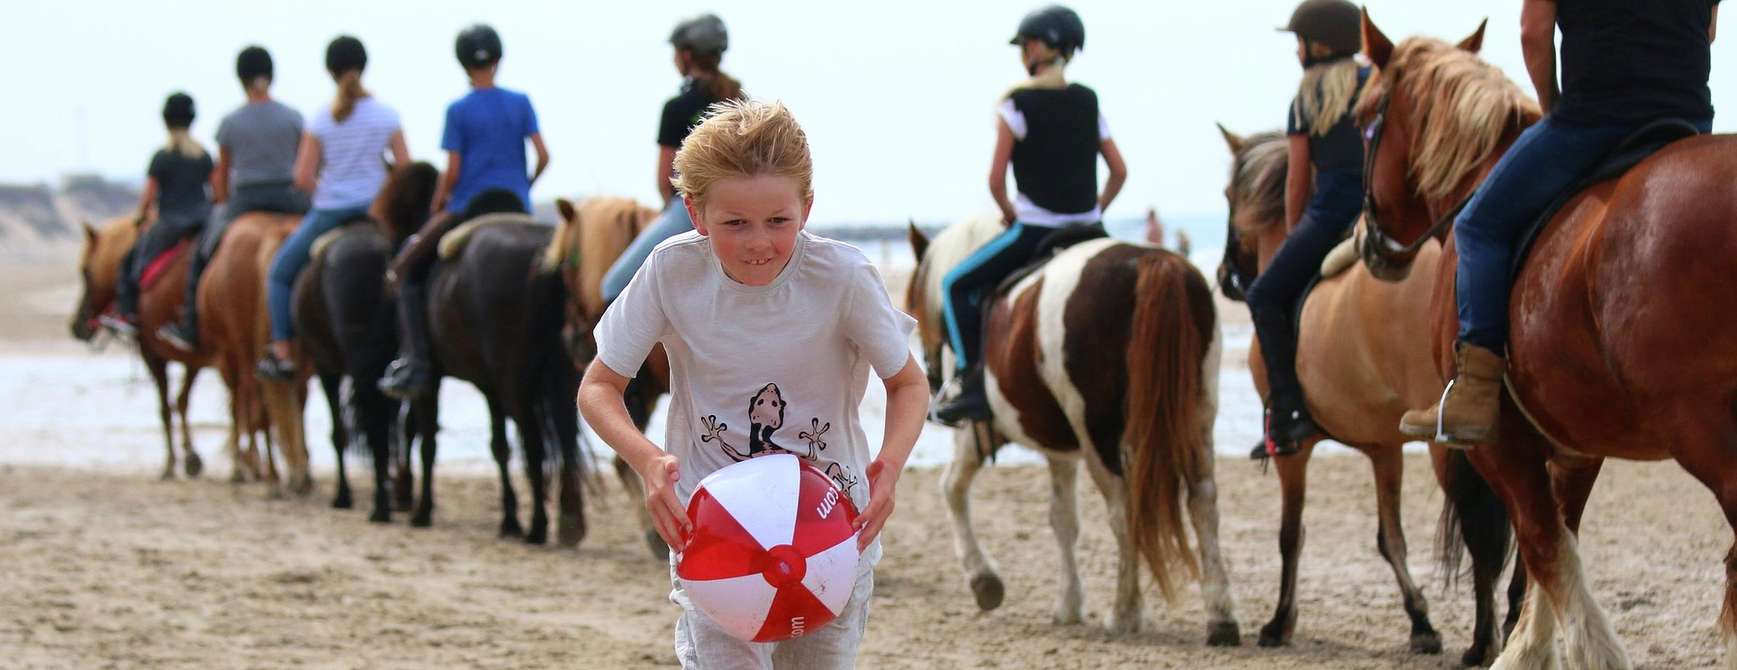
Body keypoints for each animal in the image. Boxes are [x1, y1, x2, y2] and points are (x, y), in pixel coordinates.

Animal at [70, 216, 211, 479]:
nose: (76, 326)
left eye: (86, 272)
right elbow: (181, 401)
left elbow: (166, 407)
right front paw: (190, 458)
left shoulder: (152, 353)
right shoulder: (195, 356)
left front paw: (173, 463)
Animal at [293, 162, 441, 517]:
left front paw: (344, 495)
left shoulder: (327, 365)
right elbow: (403, 426)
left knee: (372, 425)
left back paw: (380, 506)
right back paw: (400, 496)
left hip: (357, 360)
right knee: (404, 425)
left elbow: (341, 432)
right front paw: (401, 487)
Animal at [903, 218, 1243, 642]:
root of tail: (1151, 262)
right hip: (1197, 416)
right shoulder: (1059, 450)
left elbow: (952, 489)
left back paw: (1124, 611)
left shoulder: (975, 434)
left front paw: (984, 579)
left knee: (1123, 511)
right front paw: (1068, 603)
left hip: (1097, 431)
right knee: (1203, 502)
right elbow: (1062, 519)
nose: (932, 376)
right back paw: (1221, 616)